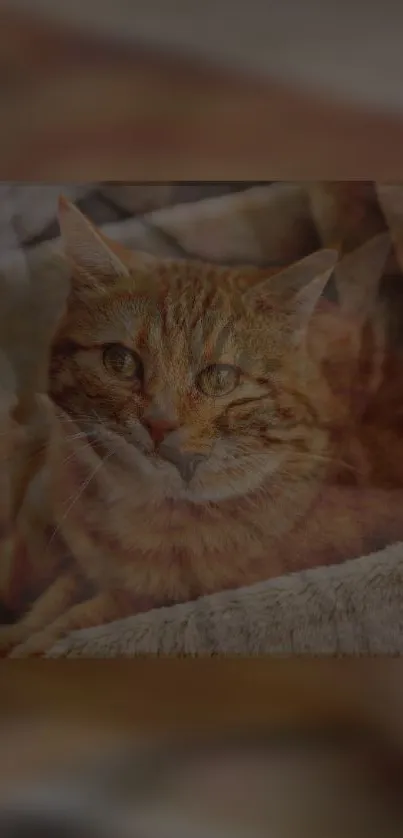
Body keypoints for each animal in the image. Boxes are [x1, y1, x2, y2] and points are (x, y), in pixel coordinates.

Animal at [0, 199, 400, 656]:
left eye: (219, 377)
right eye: (120, 361)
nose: (159, 423)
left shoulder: (146, 600)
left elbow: (80, 621)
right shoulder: (84, 567)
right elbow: (56, 597)